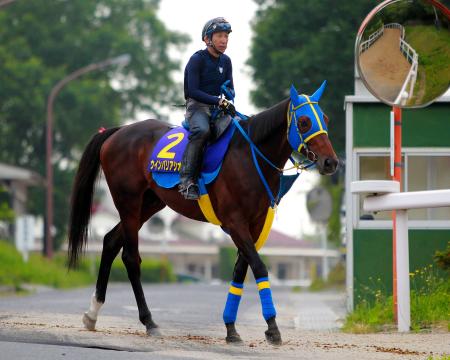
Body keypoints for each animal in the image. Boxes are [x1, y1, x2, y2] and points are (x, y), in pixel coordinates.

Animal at [67, 80, 338, 344]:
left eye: (325, 118)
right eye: (304, 122)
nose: (331, 162)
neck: (249, 157)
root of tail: (117, 132)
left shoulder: (255, 223)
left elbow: (241, 270)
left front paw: (231, 328)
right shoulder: (235, 222)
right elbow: (259, 267)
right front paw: (272, 328)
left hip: (150, 203)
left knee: (111, 241)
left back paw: (92, 314)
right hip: (129, 202)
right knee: (131, 257)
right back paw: (149, 321)